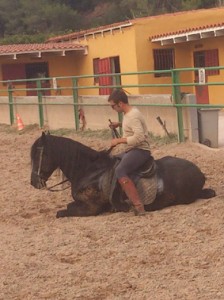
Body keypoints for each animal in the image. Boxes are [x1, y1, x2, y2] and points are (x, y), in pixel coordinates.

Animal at [29, 132, 215, 217]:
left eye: (38, 155)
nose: (33, 182)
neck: (88, 171)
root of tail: (199, 173)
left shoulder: (90, 208)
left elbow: (62, 212)